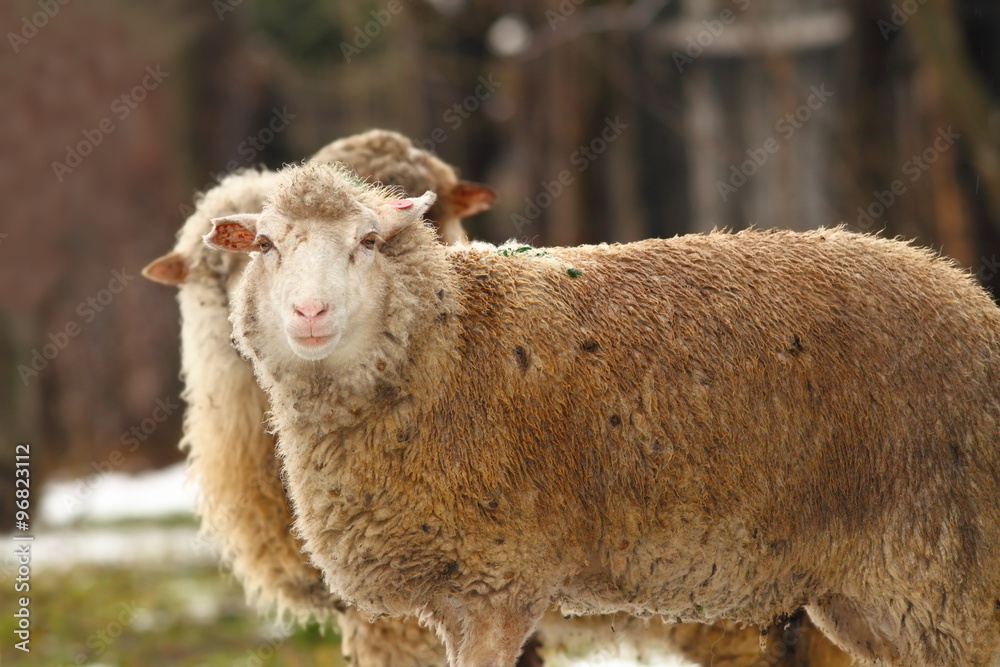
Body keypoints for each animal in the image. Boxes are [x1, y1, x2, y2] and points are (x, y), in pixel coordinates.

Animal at [207, 160, 1000, 667]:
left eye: (367, 242)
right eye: (267, 244)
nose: (310, 313)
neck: (448, 340)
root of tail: (968, 293)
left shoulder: (499, 579)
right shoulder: (453, 593)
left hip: (948, 570)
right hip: (868, 599)